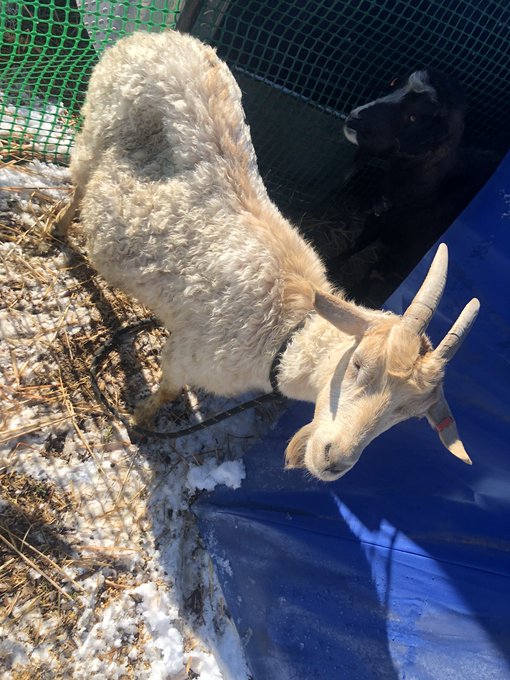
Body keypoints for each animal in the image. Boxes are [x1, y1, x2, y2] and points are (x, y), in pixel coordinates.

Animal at [56, 31, 479, 482]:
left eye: (409, 415)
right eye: (358, 365)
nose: (334, 460)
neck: (286, 332)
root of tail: (156, 36)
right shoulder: (187, 355)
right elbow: (168, 390)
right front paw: (140, 421)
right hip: (96, 127)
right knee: (80, 180)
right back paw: (58, 229)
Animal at [333, 68, 499, 305]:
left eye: (413, 117)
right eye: (394, 84)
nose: (354, 120)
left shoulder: (401, 259)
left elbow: (373, 275)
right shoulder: (378, 219)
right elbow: (358, 244)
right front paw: (330, 263)